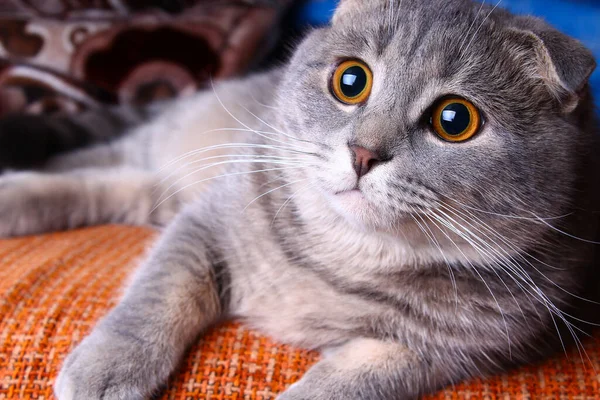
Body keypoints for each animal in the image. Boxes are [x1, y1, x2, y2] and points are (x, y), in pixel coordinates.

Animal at [1, 0, 600, 398]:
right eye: (351, 81)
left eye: (455, 120)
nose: (363, 153)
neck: (349, 256)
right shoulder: (207, 222)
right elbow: (157, 293)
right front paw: (111, 362)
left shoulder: (436, 351)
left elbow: (343, 386)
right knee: (88, 167)